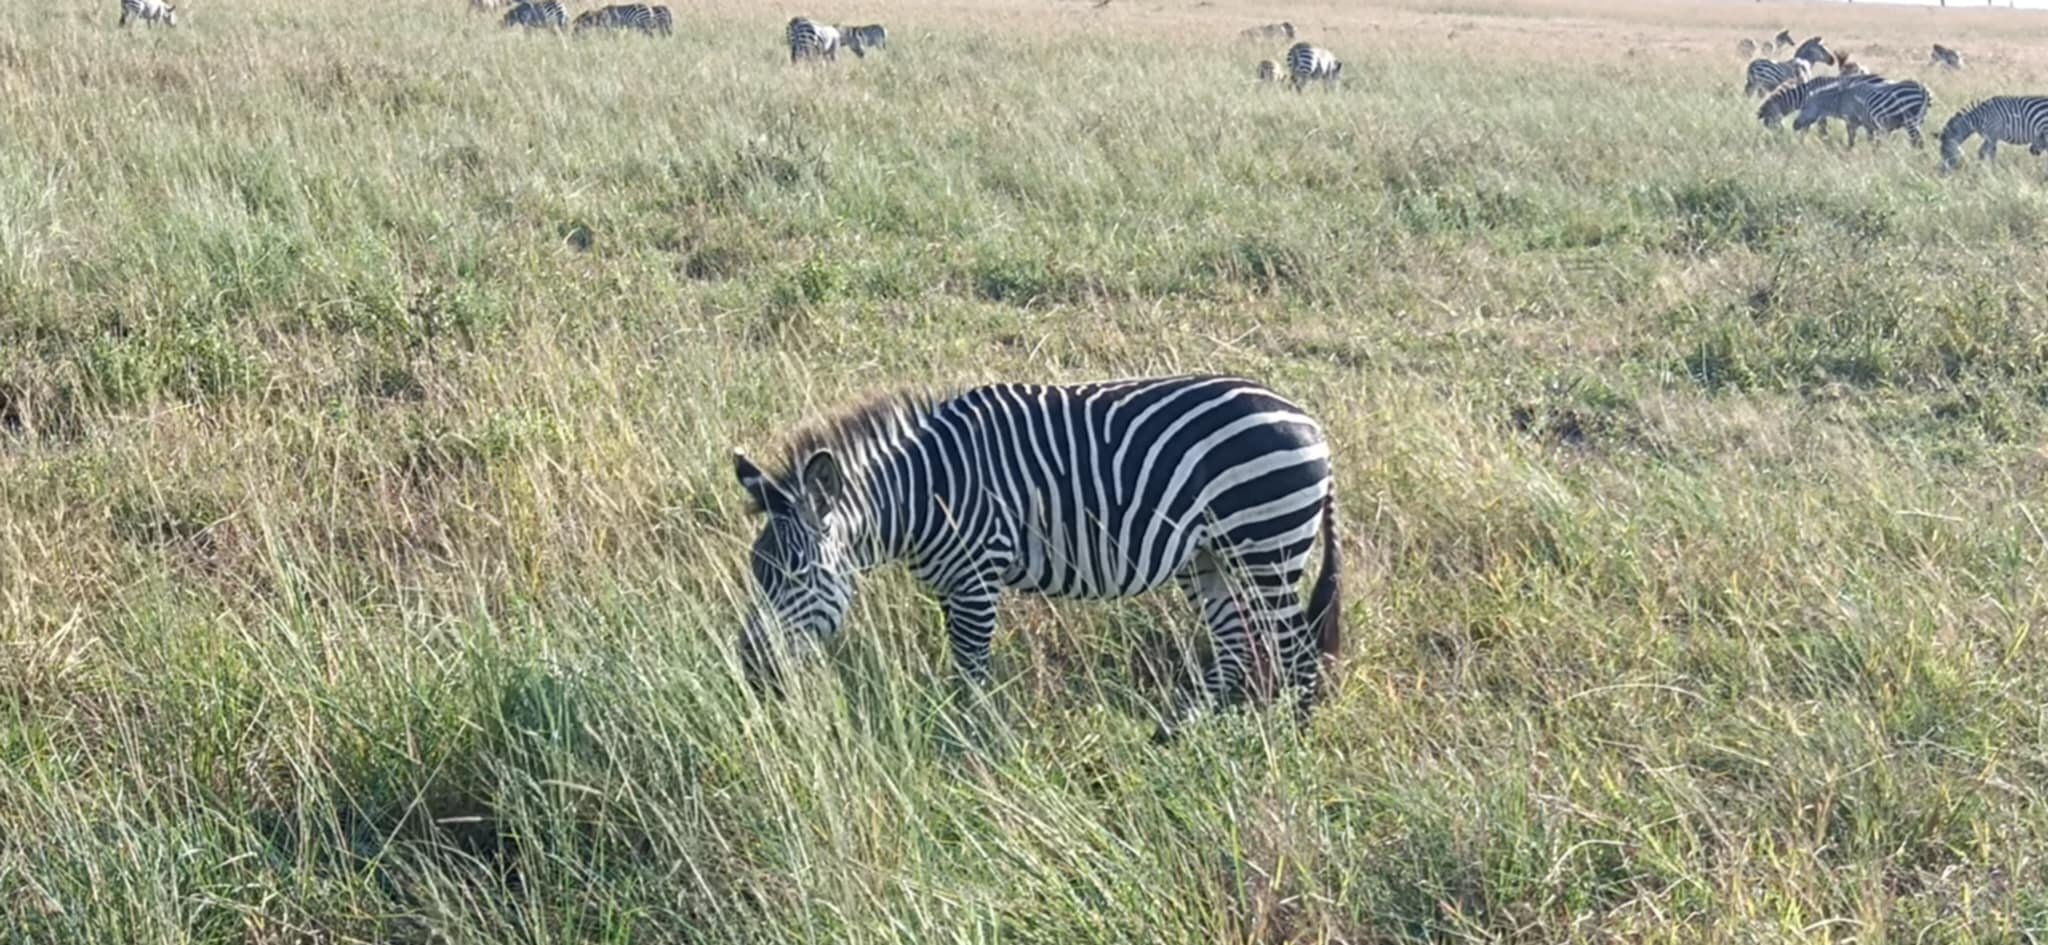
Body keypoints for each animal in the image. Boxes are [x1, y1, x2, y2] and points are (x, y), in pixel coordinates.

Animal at [732, 376, 1343, 736]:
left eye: (798, 575)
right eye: (757, 574)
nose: (751, 668)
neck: (923, 492)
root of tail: (1309, 421)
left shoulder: (976, 578)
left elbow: (971, 674)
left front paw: (969, 748)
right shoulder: (950, 586)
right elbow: (963, 670)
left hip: (1265, 548)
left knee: (1297, 650)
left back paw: (1291, 744)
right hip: (1210, 558)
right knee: (1235, 644)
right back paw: (1176, 735)